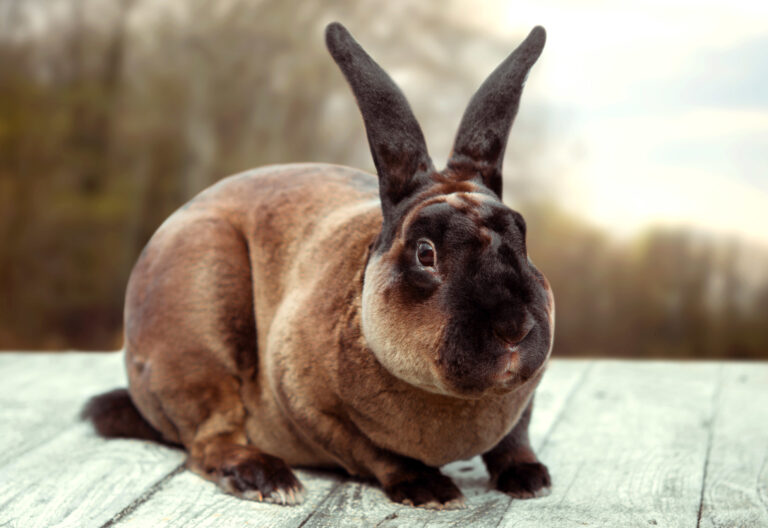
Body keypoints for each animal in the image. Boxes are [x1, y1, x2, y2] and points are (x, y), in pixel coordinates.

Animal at [82, 22, 552, 510]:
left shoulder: (525, 401)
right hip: (196, 327)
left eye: (522, 235)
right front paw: (430, 489)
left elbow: (515, 438)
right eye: (426, 253)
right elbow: (378, 453)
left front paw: (530, 478)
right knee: (207, 442)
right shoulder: (316, 412)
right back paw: (266, 477)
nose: (513, 328)